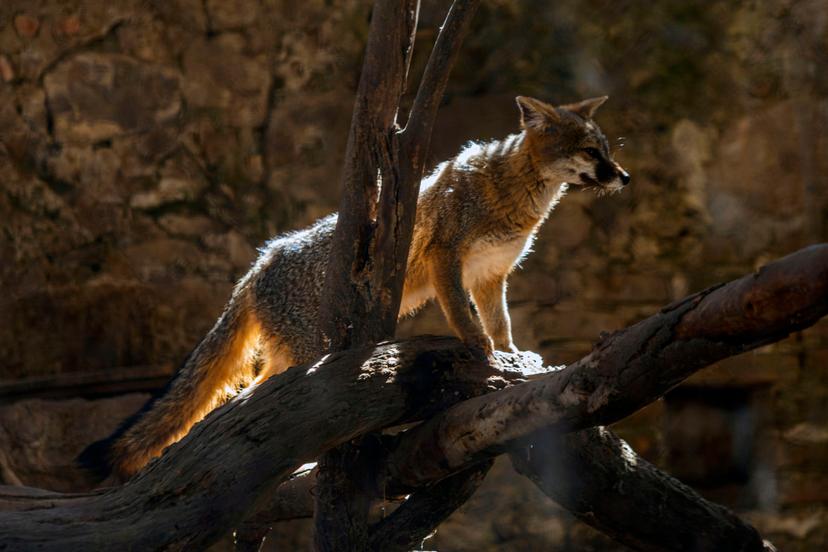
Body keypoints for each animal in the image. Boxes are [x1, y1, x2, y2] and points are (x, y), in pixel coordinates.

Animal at [81, 95, 632, 478]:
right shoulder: (447, 259)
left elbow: (502, 324)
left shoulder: (490, 275)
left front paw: (513, 356)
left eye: (606, 150)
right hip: (307, 354)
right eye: (591, 152)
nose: (625, 177)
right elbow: (464, 317)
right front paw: (482, 352)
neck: (514, 197)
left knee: (244, 405)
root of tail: (260, 262)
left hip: (286, 359)